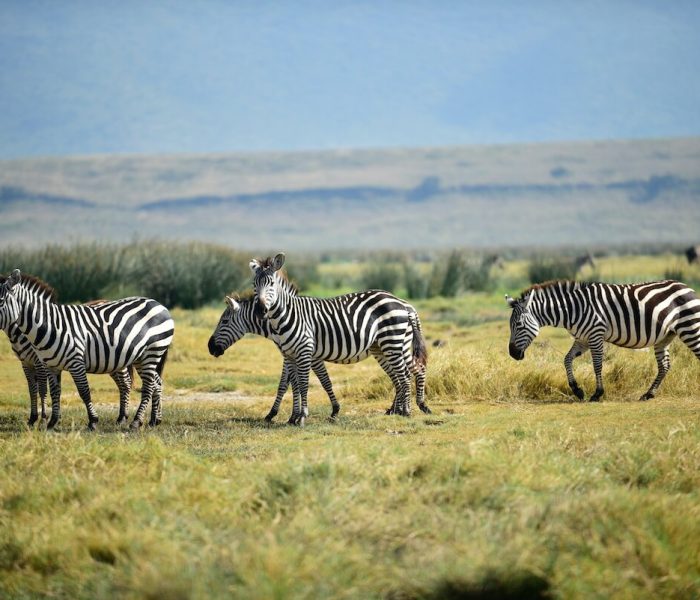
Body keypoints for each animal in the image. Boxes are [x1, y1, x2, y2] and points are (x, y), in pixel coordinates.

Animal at [0, 270, 174, 428]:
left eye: (0, 301)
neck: (50, 325)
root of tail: (158, 304)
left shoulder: (72, 363)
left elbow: (82, 391)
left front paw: (92, 421)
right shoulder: (47, 365)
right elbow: (51, 391)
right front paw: (51, 422)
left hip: (152, 352)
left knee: (146, 386)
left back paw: (136, 421)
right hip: (140, 357)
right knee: (155, 382)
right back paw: (154, 420)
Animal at [249, 251, 430, 424]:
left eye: (272, 284)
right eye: (254, 284)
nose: (260, 310)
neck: (288, 315)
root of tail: (402, 303)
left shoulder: (305, 351)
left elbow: (303, 383)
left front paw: (301, 417)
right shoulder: (289, 354)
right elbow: (292, 385)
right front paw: (291, 417)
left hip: (393, 343)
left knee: (407, 374)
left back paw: (409, 410)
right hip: (384, 346)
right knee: (403, 374)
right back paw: (399, 410)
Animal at [506, 278, 700, 400]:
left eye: (519, 325)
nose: (512, 354)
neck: (573, 309)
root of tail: (686, 286)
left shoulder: (595, 334)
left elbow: (597, 364)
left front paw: (597, 394)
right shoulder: (582, 339)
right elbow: (567, 359)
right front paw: (577, 390)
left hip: (689, 327)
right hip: (665, 337)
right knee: (664, 365)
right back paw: (648, 394)